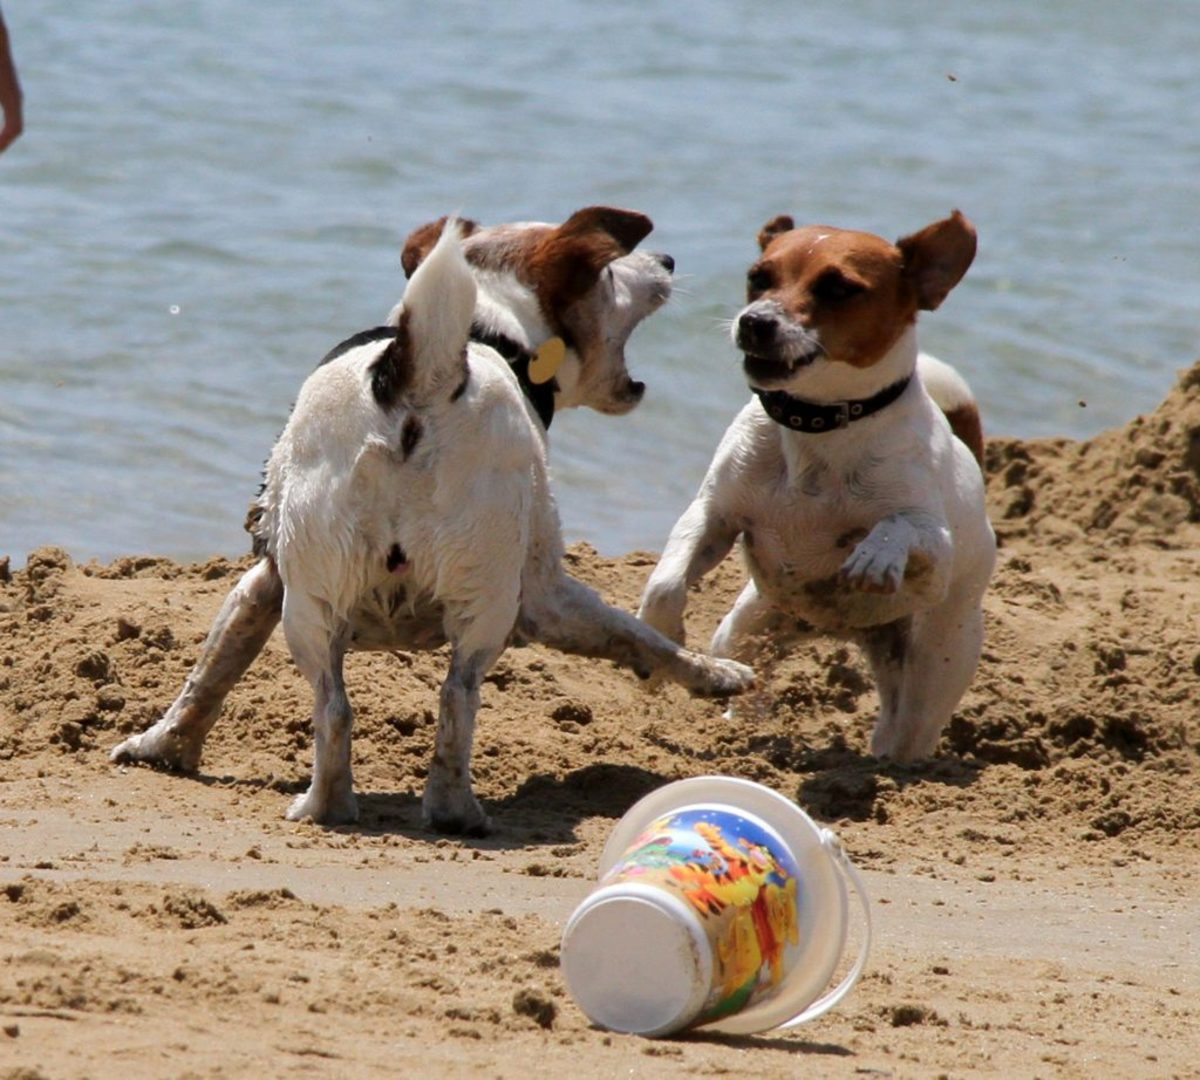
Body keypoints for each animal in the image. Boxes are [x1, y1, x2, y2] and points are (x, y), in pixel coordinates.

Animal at [114, 208, 748, 835]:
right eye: (612, 272)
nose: (667, 260)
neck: (492, 328)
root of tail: (423, 376)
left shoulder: (267, 582)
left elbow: (211, 670)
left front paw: (162, 746)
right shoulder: (544, 595)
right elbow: (640, 635)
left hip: (322, 601)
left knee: (352, 706)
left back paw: (345, 805)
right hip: (469, 598)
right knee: (451, 699)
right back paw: (440, 810)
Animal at [643, 211, 998, 763]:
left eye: (838, 288)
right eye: (758, 276)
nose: (754, 321)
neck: (819, 424)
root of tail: (841, 631)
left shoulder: (933, 547)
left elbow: (898, 527)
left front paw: (876, 554)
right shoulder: (714, 514)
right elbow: (665, 582)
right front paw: (663, 638)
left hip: (936, 660)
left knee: (908, 731)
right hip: (747, 628)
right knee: (754, 680)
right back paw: (738, 730)